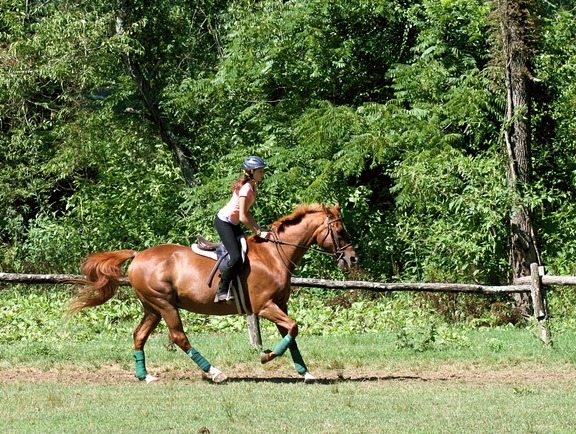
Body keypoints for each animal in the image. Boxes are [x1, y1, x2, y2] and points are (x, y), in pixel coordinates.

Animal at [70, 203, 358, 384]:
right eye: (340, 231)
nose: (352, 259)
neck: (275, 254)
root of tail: (138, 254)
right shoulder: (265, 306)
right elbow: (293, 329)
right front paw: (266, 356)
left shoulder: (280, 305)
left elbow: (291, 334)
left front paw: (305, 373)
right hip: (164, 305)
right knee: (179, 337)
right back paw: (215, 372)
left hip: (152, 308)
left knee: (139, 335)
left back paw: (145, 376)